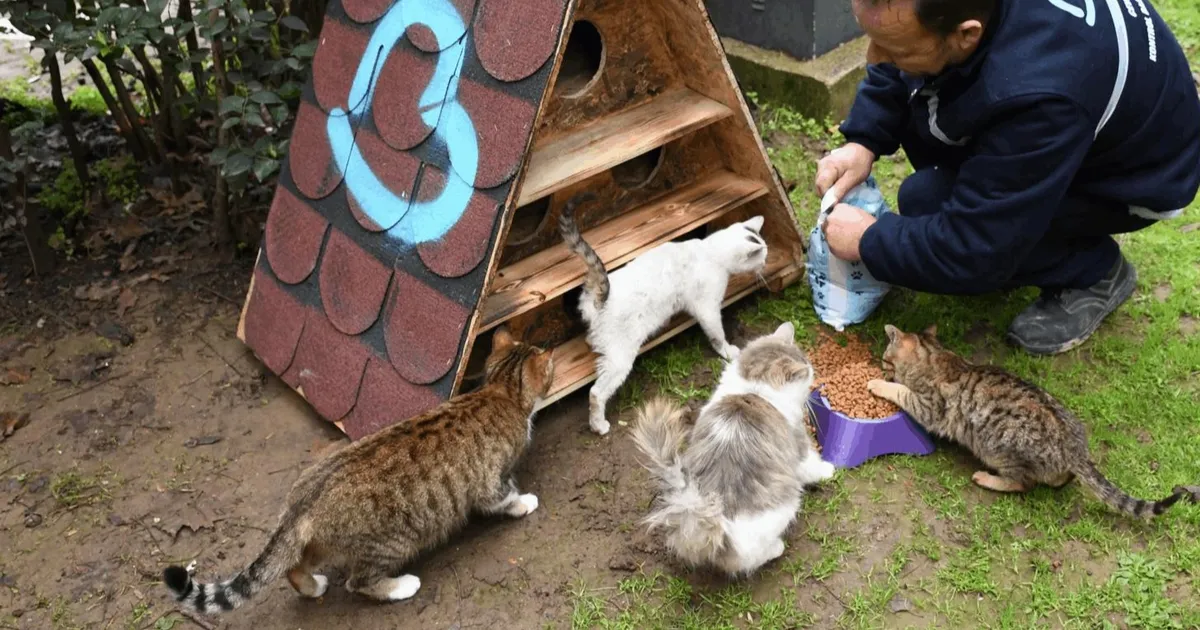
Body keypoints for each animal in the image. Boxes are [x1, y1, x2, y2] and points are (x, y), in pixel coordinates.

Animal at [162, 326, 554, 612]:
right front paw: (525, 502)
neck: (500, 391)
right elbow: (505, 497)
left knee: (293, 566)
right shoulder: (490, 482)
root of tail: (304, 501)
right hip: (391, 542)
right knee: (358, 581)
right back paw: (401, 586)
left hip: (324, 541)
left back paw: (312, 586)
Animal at [559, 194, 768, 434]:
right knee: (596, 393)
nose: (766, 264)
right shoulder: (707, 308)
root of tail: (603, 294)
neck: (710, 251)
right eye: (762, 257)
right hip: (619, 359)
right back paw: (598, 425)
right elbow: (717, 334)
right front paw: (727, 351)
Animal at [628, 324, 835, 573]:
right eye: (809, 375)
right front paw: (829, 470)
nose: (813, 380)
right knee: (754, 558)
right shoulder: (799, 446)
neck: (753, 390)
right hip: (787, 506)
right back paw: (777, 548)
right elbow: (812, 465)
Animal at [868, 321, 1195, 518]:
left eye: (884, 358)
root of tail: (1075, 450)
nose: (880, 366)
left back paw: (986, 478)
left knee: (1022, 483)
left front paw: (879, 383)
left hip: (1000, 450)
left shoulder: (928, 407)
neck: (936, 356)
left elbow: (901, 391)